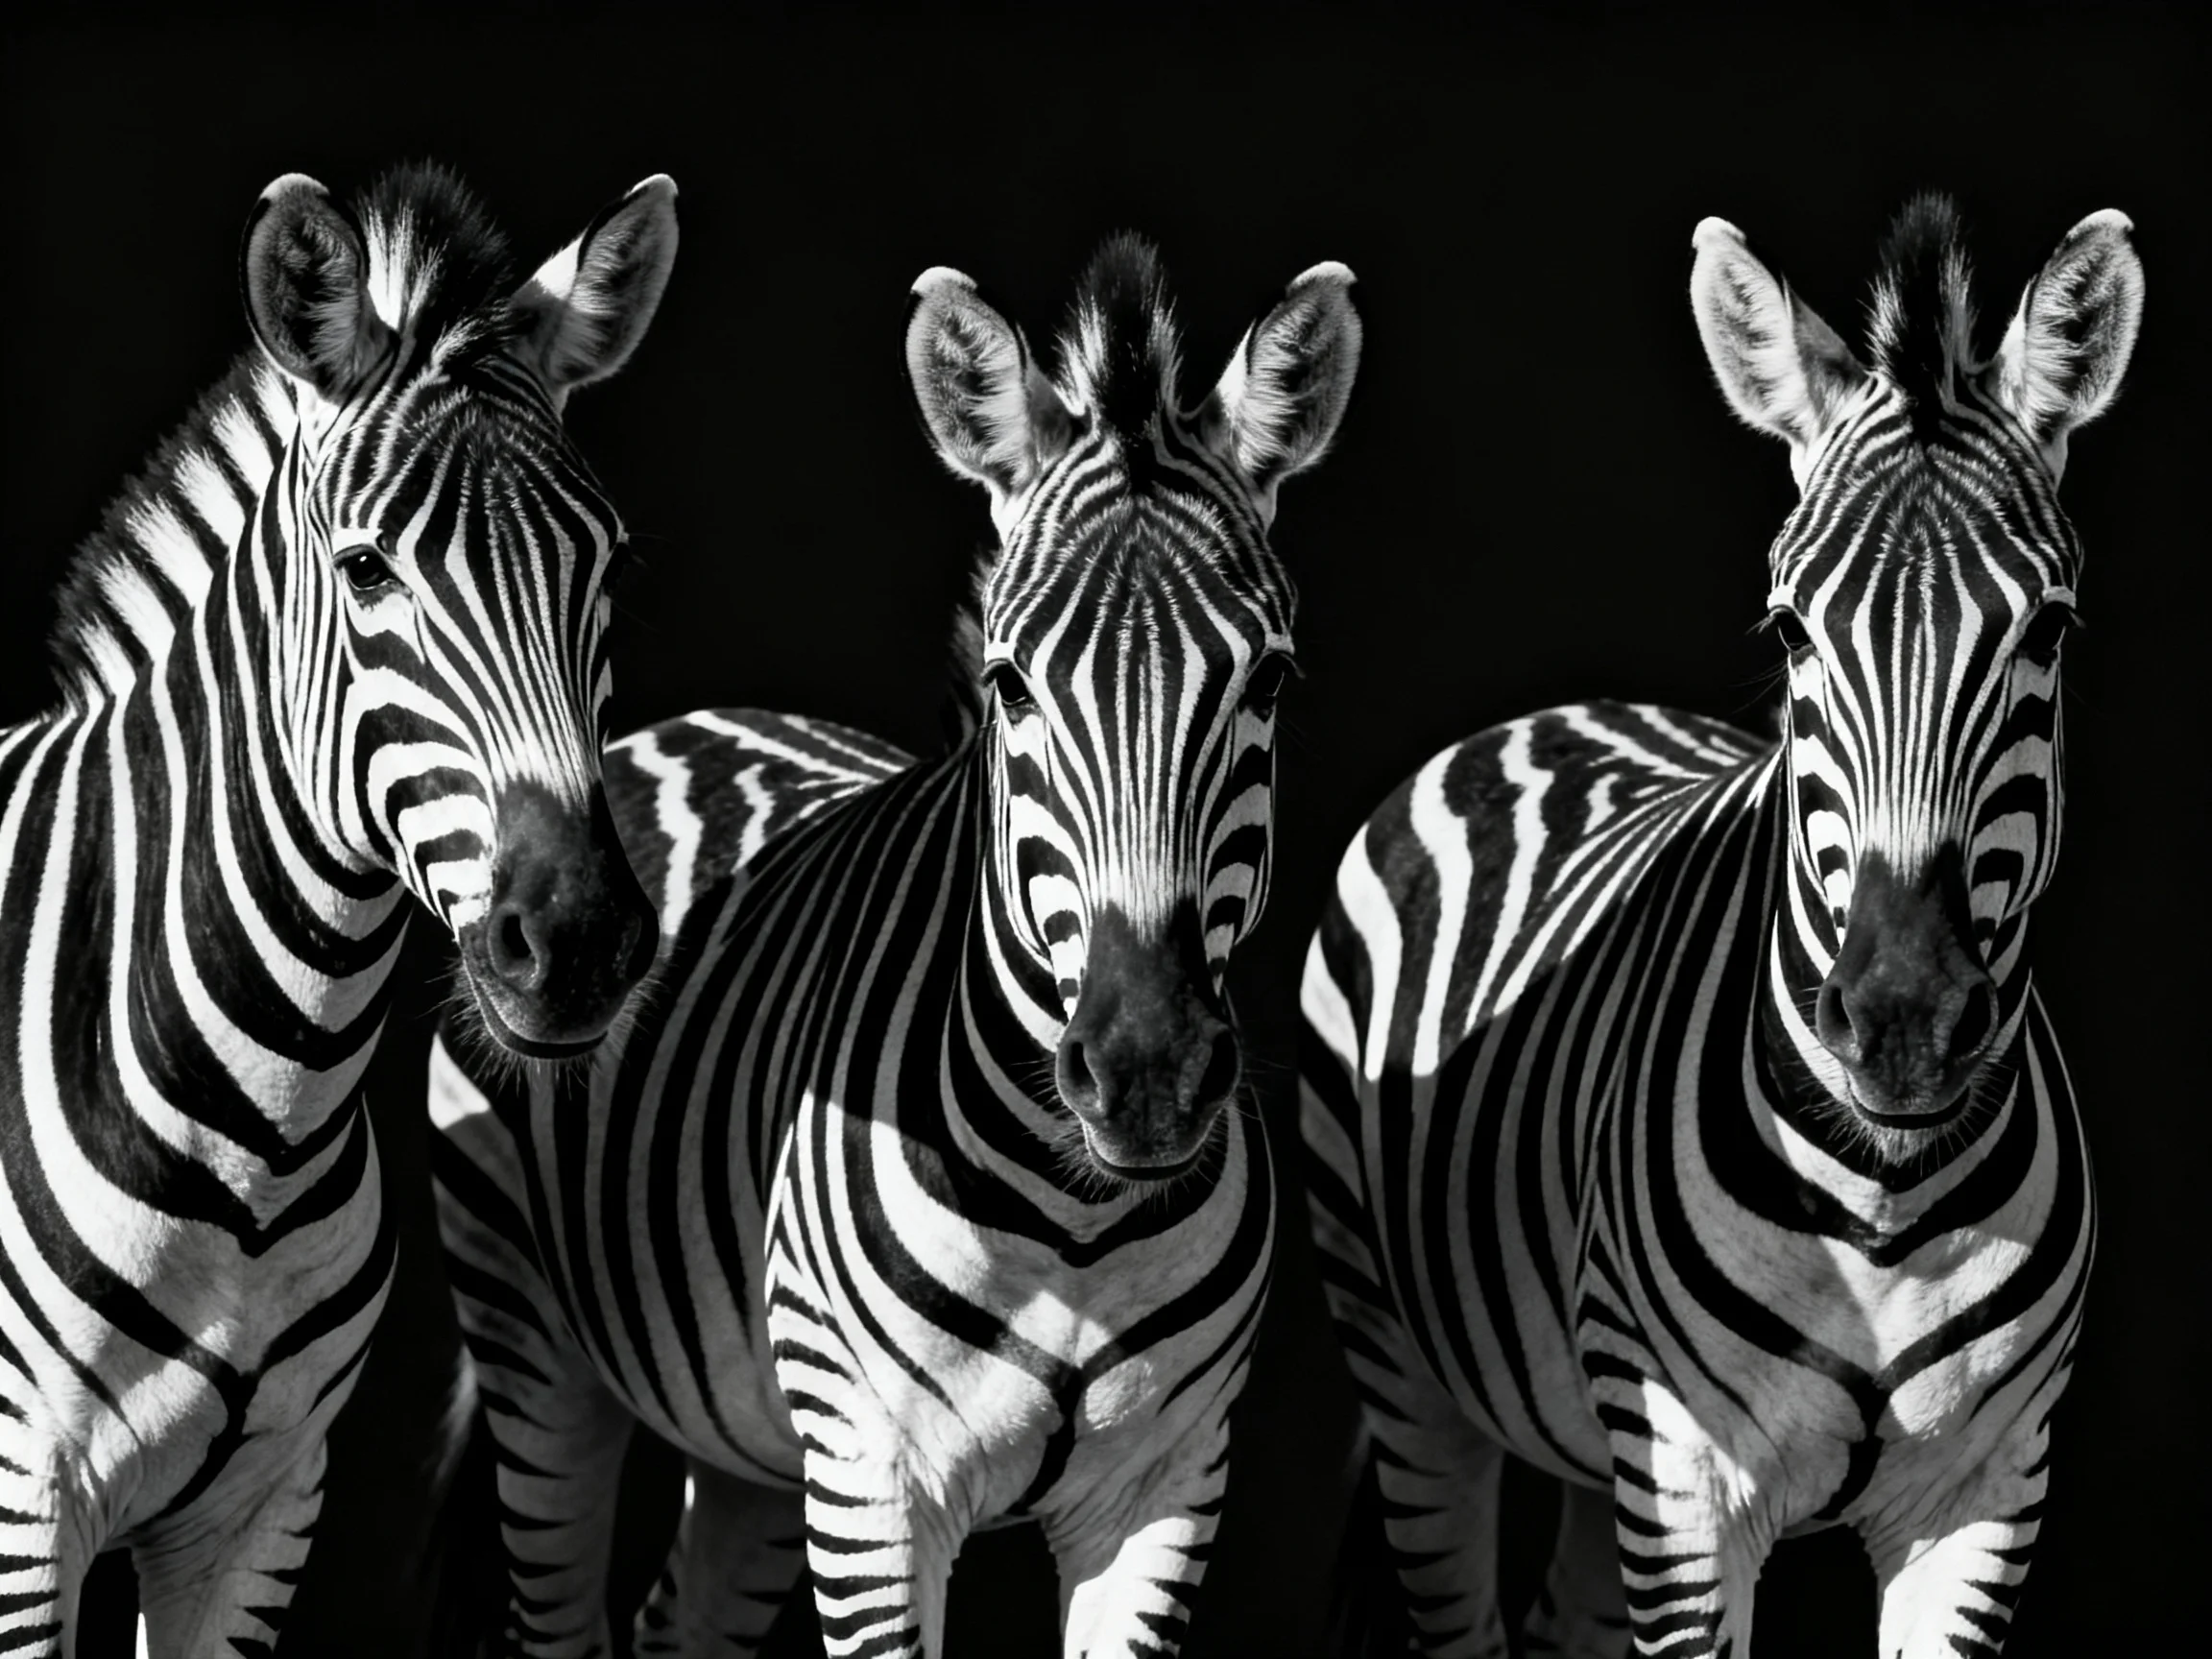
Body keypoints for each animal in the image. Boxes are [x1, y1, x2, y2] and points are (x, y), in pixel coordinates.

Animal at [0, 165, 678, 1657]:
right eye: (367, 572)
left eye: (608, 569)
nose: (578, 945)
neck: (253, 1131)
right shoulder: (18, 1503)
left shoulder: (265, 1508)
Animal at [425, 234, 1362, 1658]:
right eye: (1012, 687)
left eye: (1271, 684)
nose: (1146, 1074)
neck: (1072, 1218)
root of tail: (700, 724)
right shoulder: (875, 1480)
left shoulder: (1167, 1489)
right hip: (533, 1339)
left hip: (755, 1436)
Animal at [1300, 198, 2142, 1658]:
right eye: (1793, 630)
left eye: (2047, 631)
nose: (1904, 1021)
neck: (1885, 1205)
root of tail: (1559, 712)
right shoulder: (1689, 1488)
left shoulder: (1987, 1497)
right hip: (1413, 1378)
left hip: (1592, 1439)